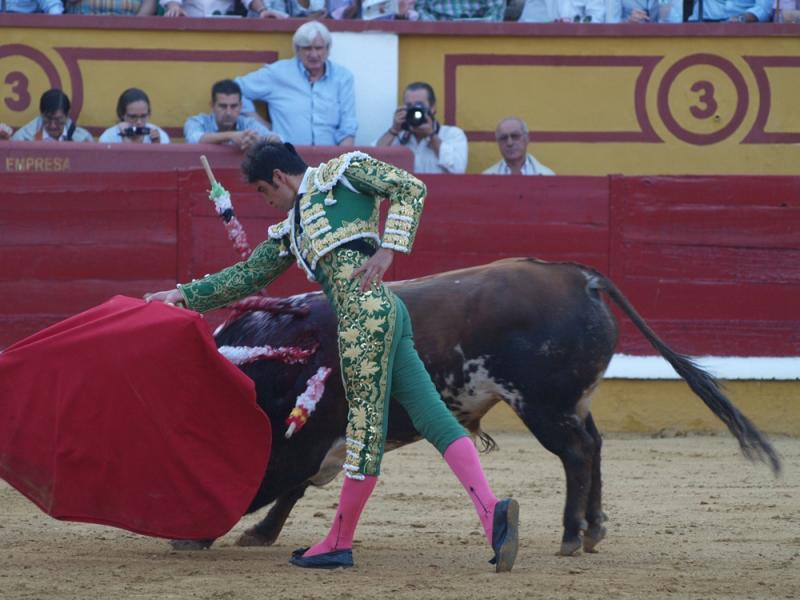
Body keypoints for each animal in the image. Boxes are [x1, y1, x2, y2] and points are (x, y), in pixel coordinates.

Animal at [183, 255, 780, 556]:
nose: (186, 537)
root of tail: (581, 278)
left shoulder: (316, 435)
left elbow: (293, 481)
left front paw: (254, 531)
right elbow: (297, 487)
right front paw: (259, 533)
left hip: (542, 405)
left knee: (577, 454)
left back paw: (570, 535)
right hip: (572, 402)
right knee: (595, 447)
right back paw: (593, 529)